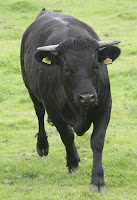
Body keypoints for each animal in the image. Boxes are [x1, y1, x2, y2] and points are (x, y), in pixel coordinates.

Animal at [20, 8, 121, 193]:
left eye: (95, 66)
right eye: (67, 69)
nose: (87, 97)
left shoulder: (105, 107)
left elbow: (97, 141)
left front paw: (97, 180)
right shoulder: (54, 111)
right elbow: (66, 136)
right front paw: (72, 164)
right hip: (31, 89)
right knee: (39, 114)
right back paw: (43, 146)